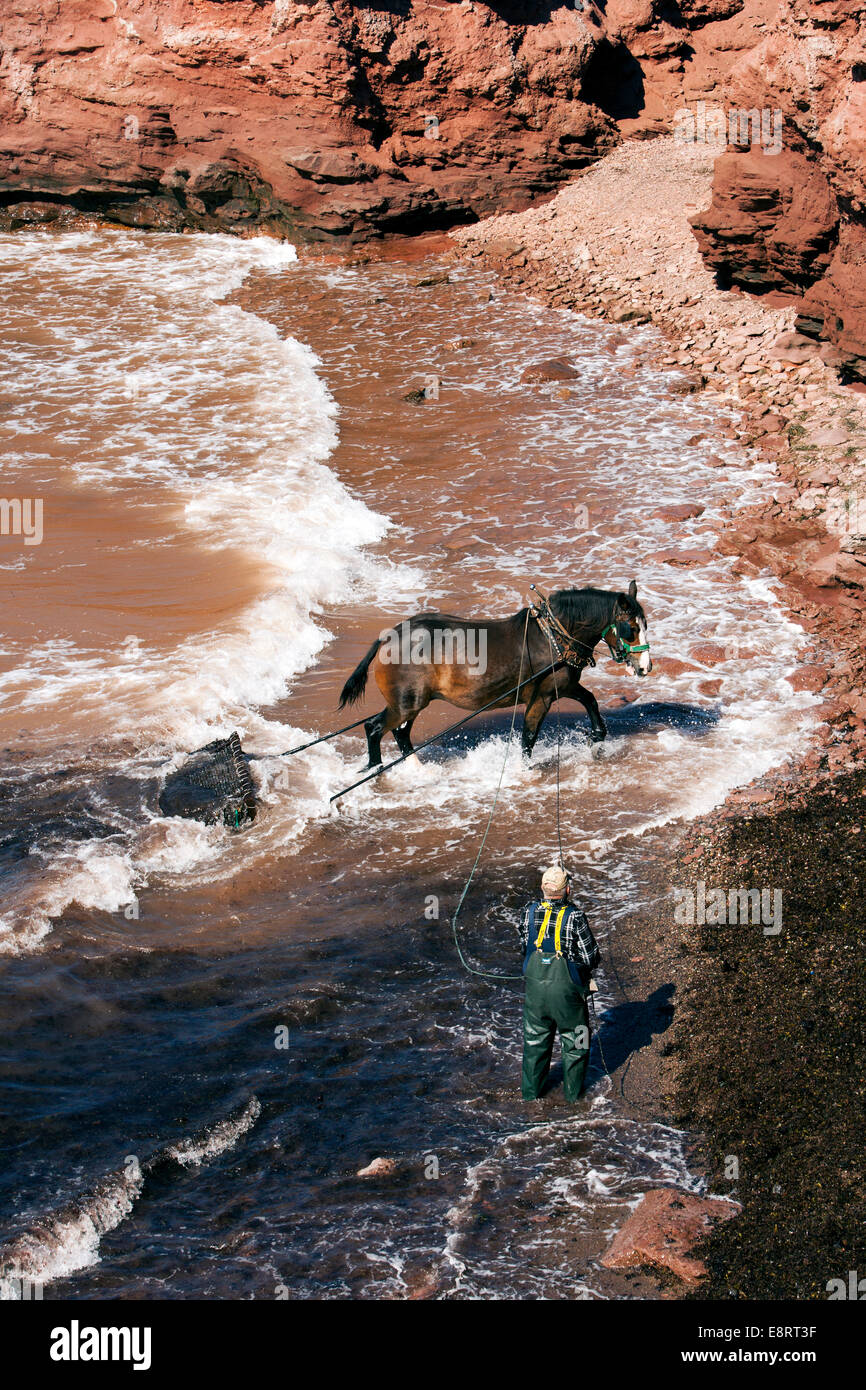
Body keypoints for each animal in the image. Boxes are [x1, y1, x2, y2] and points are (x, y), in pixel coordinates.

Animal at [339, 578, 650, 767]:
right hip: (407, 704)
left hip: (410, 703)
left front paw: (596, 738)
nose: (646, 667)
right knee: (375, 728)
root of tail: (390, 636)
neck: (552, 637)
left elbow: (591, 701)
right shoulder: (543, 696)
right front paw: (522, 770)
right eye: (632, 629)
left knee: (400, 733)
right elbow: (528, 736)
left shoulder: (563, 687)